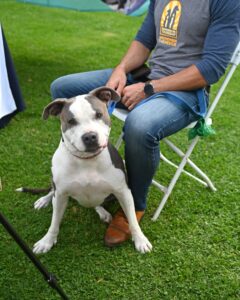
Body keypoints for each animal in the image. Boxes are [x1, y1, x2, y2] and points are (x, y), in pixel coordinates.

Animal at [17, 86, 152, 253]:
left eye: (99, 115)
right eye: (71, 121)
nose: (90, 137)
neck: (87, 161)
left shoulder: (123, 192)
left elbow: (132, 219)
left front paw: (140, 239)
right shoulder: (60, 194)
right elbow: (54, 222)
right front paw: (47, 241)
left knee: (97, 204)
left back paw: (103, 212)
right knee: (51, 191)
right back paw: (44, 200)